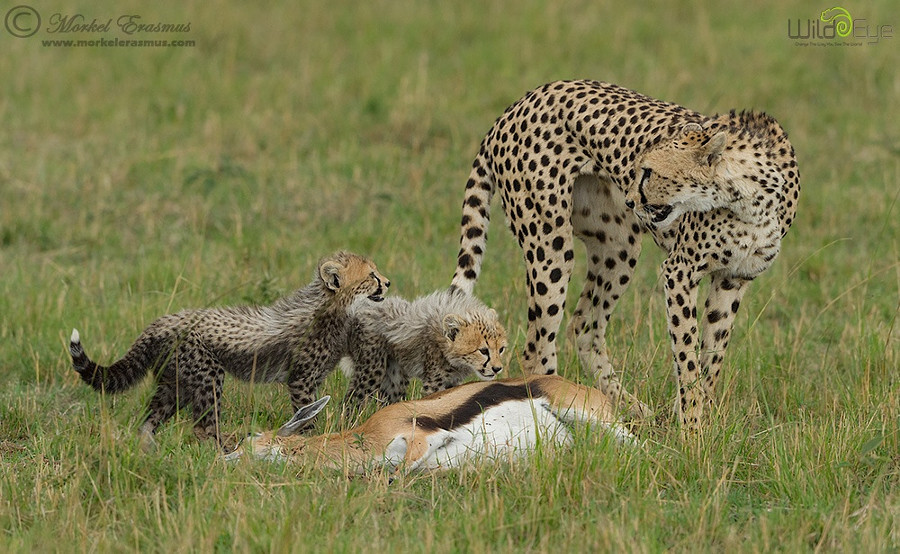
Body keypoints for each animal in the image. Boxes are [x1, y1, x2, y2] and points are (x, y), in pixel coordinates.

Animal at [454, 80, 800, 430]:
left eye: (648, 172)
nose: (632, 200)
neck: (750, 197)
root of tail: (520, 102)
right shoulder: (680, 270)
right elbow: (687, 358)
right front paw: (691, 429)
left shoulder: (733, 278)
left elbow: (712, 358)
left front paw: (707, 419)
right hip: (551, 246)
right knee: (537, 348)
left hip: (618, 246)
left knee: (584, 326)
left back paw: (634, 411)